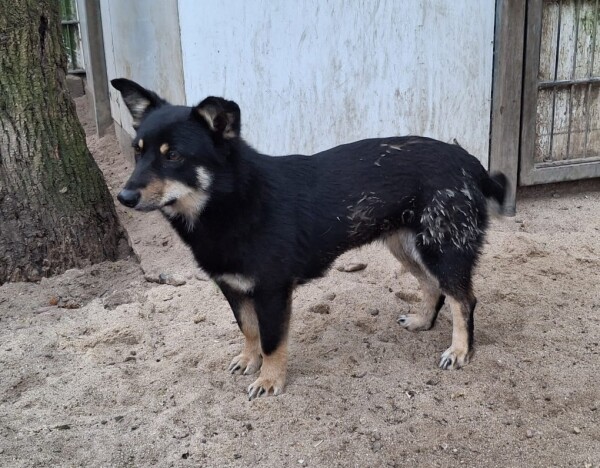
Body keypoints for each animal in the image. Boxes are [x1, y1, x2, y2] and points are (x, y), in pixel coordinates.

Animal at [111, 78, 507, 400]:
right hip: (408, 247)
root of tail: (469, 161)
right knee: (433, 287)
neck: (231, 201)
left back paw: (460, 350)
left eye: (174, 156)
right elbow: (248, 329)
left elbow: (272, 341)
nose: (124, 197)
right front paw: (249, 359)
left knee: (463, 299)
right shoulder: (233, 287)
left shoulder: (272, 292)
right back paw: (423, 321)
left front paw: (270, 380)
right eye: (137, 151)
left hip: (443, 248)